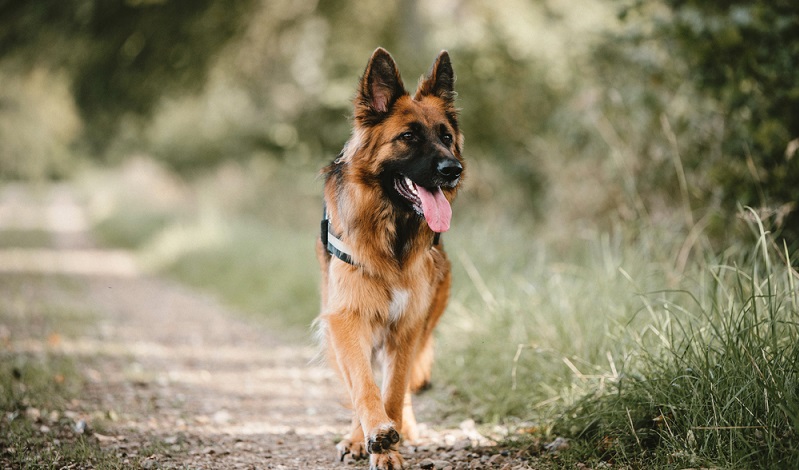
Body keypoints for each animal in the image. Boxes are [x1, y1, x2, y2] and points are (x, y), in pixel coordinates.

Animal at [314, 48, 462, 470]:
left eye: (446, 137)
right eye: (408, 137)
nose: (453, 170)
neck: (392, 235)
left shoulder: (407, 327)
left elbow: (393, 392)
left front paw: (391, 444)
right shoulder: (346, 318)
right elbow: (363, 386)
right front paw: (374, 436)